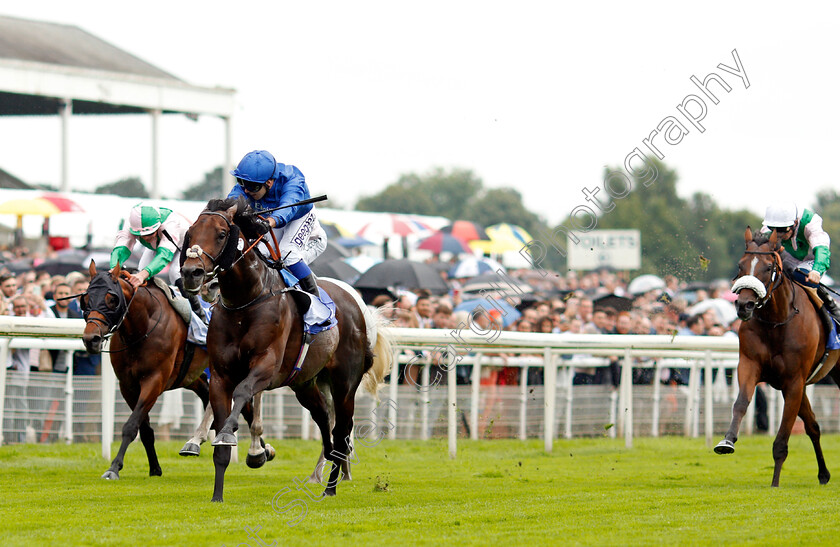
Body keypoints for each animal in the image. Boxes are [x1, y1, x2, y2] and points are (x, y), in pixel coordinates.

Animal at [81, 262, 213, 480]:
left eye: (112, 299)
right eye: (86, 298)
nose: (91, 339)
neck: (141, 328)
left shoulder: (154, 380)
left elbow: (131, 425)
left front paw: (113, 467)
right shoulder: (128, 385)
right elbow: (145, 430)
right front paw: (155, 468)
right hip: (190, 376)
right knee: (208, 392)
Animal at [179, 199, 392, 504]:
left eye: (221, 234)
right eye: (191, 233)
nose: (191, 273)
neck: (245, 302)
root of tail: (358, 307)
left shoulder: (266, 366)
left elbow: (243, 392)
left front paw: (241, 441)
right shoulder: (220, 374)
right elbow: (220, 436)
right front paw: (217, 494)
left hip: (345, 384)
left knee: (341, 431)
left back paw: (330, 486)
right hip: (305, 383)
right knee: (324, 421)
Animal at [716, 229, 840, 486]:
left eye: (767, 267)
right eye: (740, 265)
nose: (744, 305)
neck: (776, 321)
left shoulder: (794, 381)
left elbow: (783, 436)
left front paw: (774, 483)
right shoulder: (751, 366)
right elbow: (741, 403)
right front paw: (727, 441)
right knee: (813, 426)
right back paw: (823, 474)